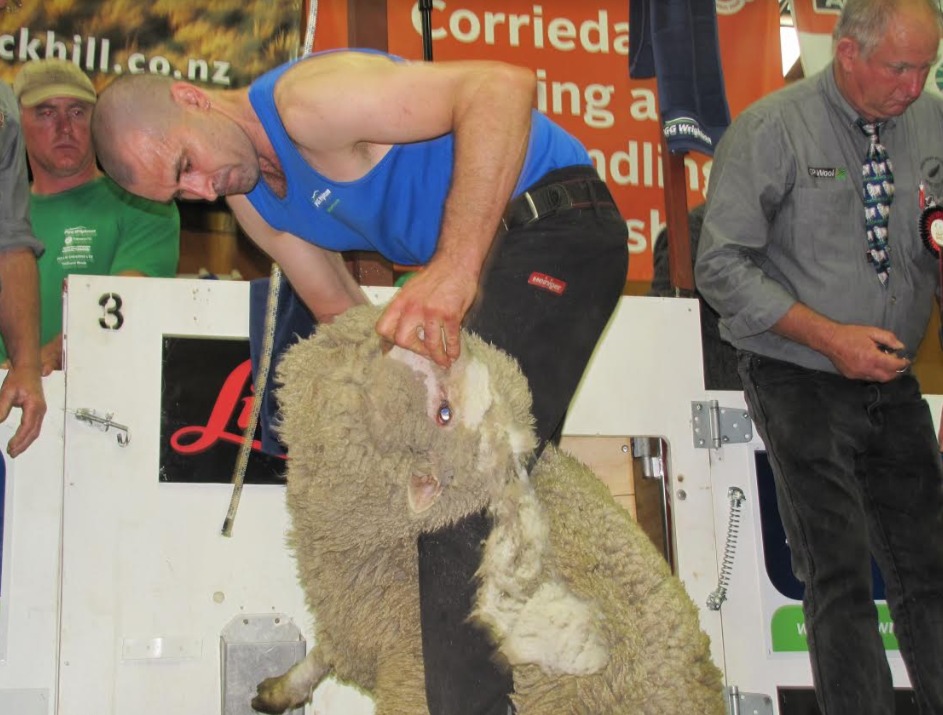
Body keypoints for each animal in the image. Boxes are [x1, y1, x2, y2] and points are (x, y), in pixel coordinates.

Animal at [252, 304, 726, 715]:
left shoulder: (401, 665)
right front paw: (280, 690)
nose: (444, 340)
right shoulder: (356, 622)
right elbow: (320, 658)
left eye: (443, 413)